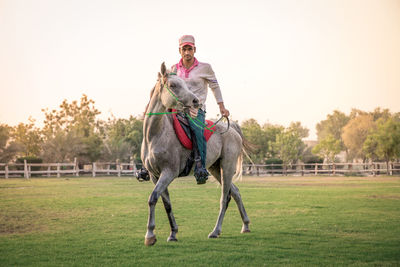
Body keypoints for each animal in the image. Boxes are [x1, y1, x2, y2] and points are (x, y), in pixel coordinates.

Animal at [142, 62, 252, 247]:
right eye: (173, 85)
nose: (195, 101)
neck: (156, 134)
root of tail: (232, 129)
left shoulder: (168, 173)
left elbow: (152, 198)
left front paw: (150, 235)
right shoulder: (154, 175)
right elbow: (166, 204)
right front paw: (173, 233)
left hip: (227, 167)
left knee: (225, 197)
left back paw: (215, 231)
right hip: (215, 168)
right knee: (235, 192)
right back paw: (245, 225)